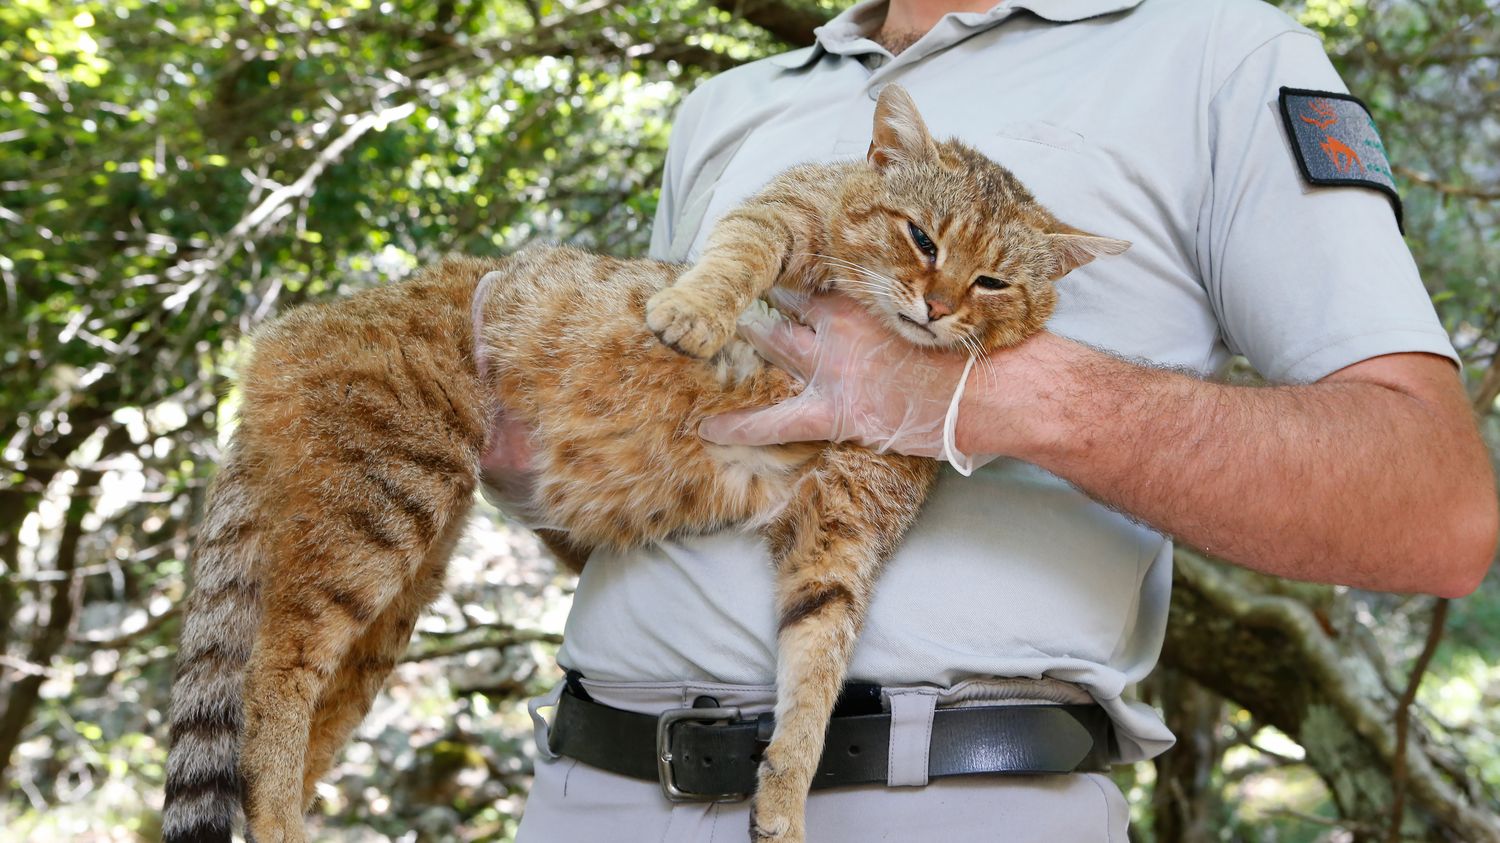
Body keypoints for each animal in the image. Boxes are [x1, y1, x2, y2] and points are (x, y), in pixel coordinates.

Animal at [161, 87, 1128, 840]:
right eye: (922, 238)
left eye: (993, 283)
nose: (937, 307)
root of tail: (290, 330)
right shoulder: (788, 207)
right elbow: (739, 250)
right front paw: (692, 311)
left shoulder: (841, 531)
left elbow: (816, 673)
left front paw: (785, 797)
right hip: (382, 501)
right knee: (272, 673)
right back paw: (282, 816)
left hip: (396, 583)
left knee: (292, 711)